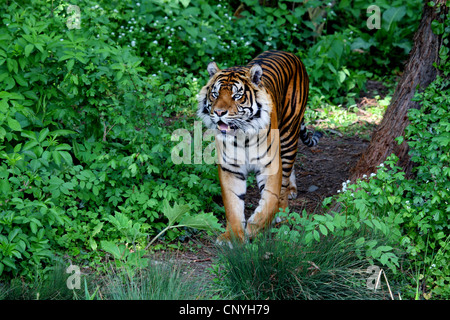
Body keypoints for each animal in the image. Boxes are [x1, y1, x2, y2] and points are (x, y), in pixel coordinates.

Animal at [199, 51, 322, 244]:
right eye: (215, 93)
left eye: (236, 96)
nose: (219, 113)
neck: (242, 137)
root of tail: (290, 53)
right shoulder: (230, 169)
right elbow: (232, 205)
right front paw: (233, 236)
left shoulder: (270, 165)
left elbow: (269, 201)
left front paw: (253, 229)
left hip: (288, 134)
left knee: (285, 180)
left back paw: (284, 210)